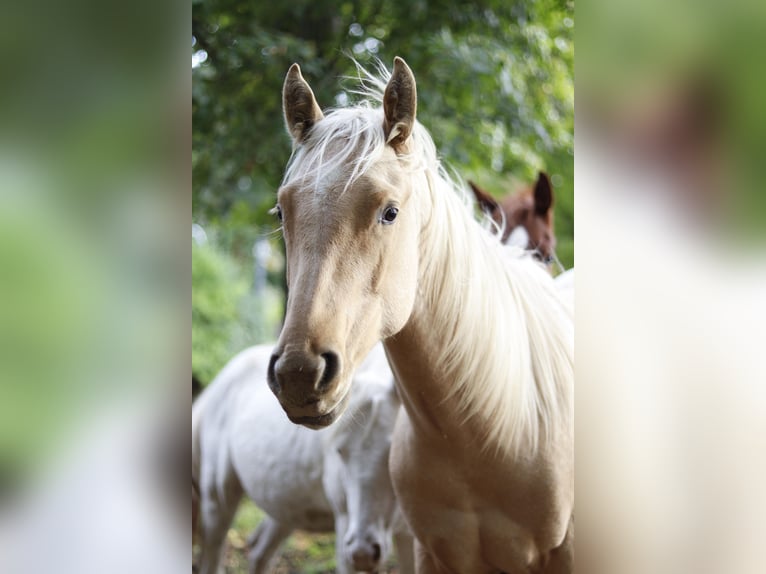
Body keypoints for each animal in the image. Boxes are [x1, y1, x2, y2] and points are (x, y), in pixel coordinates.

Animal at [192, 344, 414, 572]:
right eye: (339, 452)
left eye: (392, 453)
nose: (363, 554)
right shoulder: (344, 523)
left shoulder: (409, 535)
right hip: (217, 499)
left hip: (284, 510)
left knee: (259, 554)